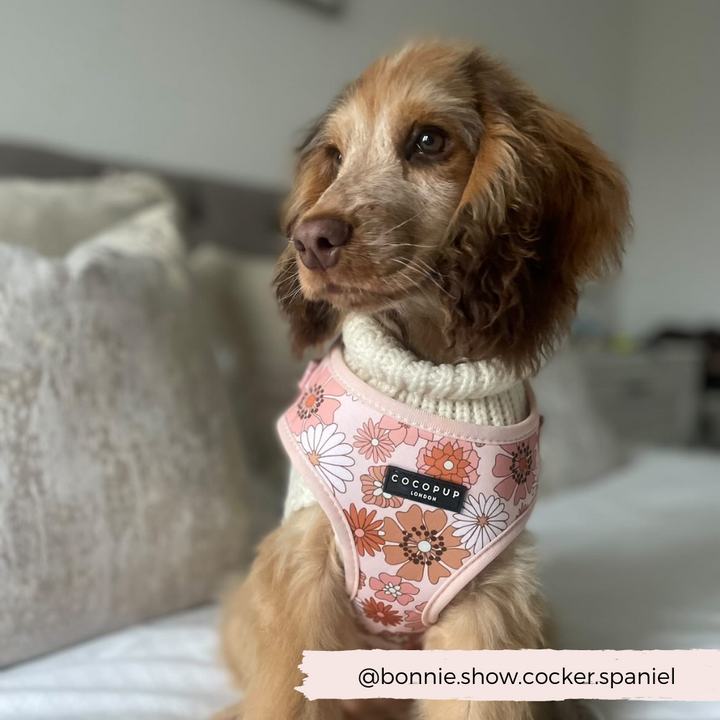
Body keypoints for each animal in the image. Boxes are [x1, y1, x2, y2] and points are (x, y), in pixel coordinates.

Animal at [215, 40, 632, 720]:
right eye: (334, 157)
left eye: (430, 141)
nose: (309, 239)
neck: (426, 378)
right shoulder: (304, 568)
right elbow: (287, 698)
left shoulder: (489, 601)